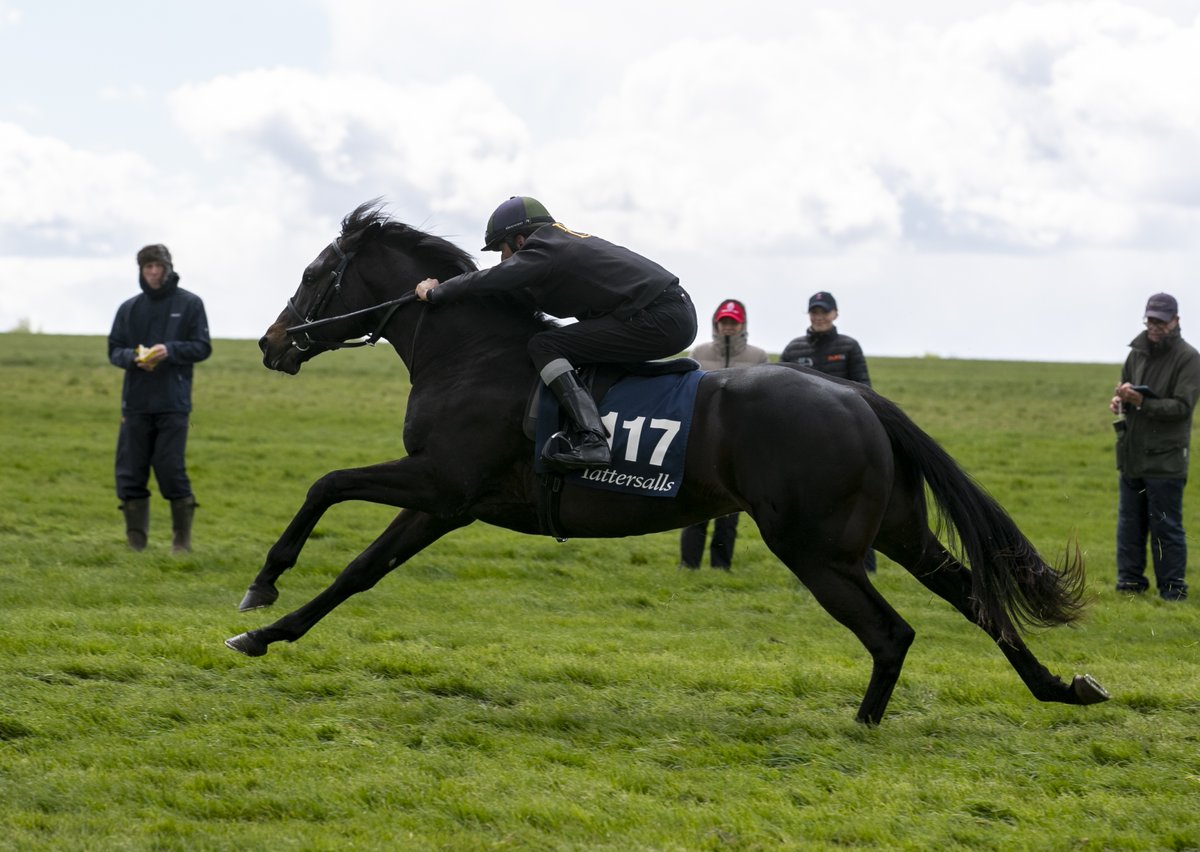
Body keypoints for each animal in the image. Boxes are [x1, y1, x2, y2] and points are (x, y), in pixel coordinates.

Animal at [229, 204, 1108, 724]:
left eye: (315, 274)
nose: (271, 343)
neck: (469, 350)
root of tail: (859, 398)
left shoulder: (443, 483)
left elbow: (326, 486)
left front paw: (261, 586)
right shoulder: (447, 503)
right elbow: (360, 572)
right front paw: (266, 632)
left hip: (818, 549)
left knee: (893, 632)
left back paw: (864, 725)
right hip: (894, 532)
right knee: (976, 599)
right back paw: (1060, 686)